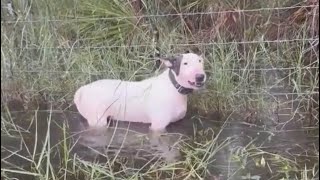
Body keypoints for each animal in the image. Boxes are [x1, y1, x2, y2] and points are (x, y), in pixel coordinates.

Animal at [74, 52, 206, 134]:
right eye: (185, 63)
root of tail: (82, 89)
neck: (174, 88)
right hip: (97, 120)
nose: (200, 76)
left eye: (200, 61)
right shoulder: (157, 126)